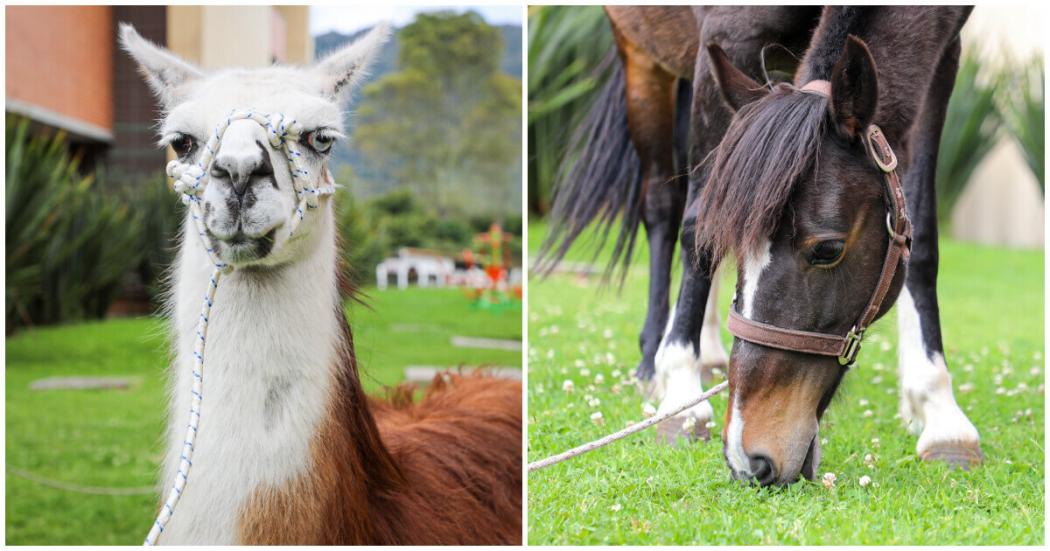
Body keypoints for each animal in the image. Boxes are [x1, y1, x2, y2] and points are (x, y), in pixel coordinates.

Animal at [541, 6, 974, 482]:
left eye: (827, 250)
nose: (749, 457)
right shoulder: (728, 38)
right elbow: (697, 226)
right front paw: (680, 397)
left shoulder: (943, 55)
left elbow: (923, 237)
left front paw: (939, 412)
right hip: (642, 59)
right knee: (661, 207)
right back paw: (656, 359)